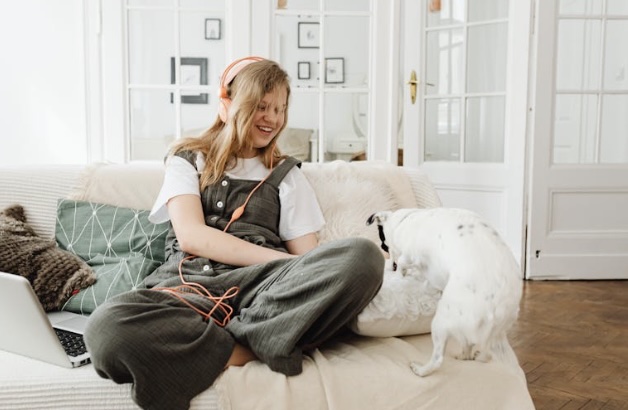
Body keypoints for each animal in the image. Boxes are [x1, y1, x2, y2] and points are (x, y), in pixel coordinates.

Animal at [366, 208, 522, 376]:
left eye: (383, 245)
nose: (389, 265)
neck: (404, 220)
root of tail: (496, 308)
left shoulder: (408, 256)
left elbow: (402, 264)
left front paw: (399, 273)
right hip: (490, 334)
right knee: (483, 353)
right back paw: (466, 356)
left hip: (441, 321)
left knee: (438, 359)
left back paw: (420, 370)